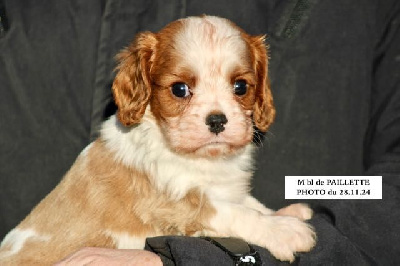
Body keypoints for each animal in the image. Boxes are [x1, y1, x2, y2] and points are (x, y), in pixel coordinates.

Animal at [0, 16, 316, 264]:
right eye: (179, 89)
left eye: (240, 87)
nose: (217, 120)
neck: (204, 161)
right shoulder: (174, 205)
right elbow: (234, 212)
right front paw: (285, 230)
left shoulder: (225, 188)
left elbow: (250, 203)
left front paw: (287, 214)